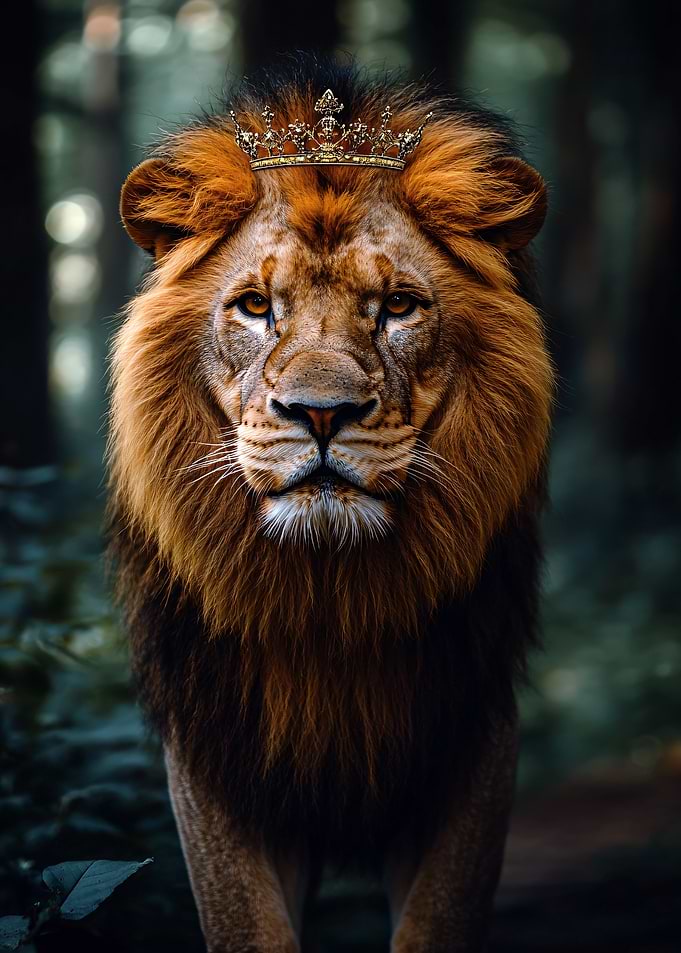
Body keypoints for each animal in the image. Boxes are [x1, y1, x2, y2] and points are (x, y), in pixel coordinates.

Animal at [109, 59, 552, 952]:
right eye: (254, 306)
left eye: (397, 306)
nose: (320, 413)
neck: (328, 600)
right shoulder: (213, 749)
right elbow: (247, 923)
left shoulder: (474, 732)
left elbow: (435, 920)